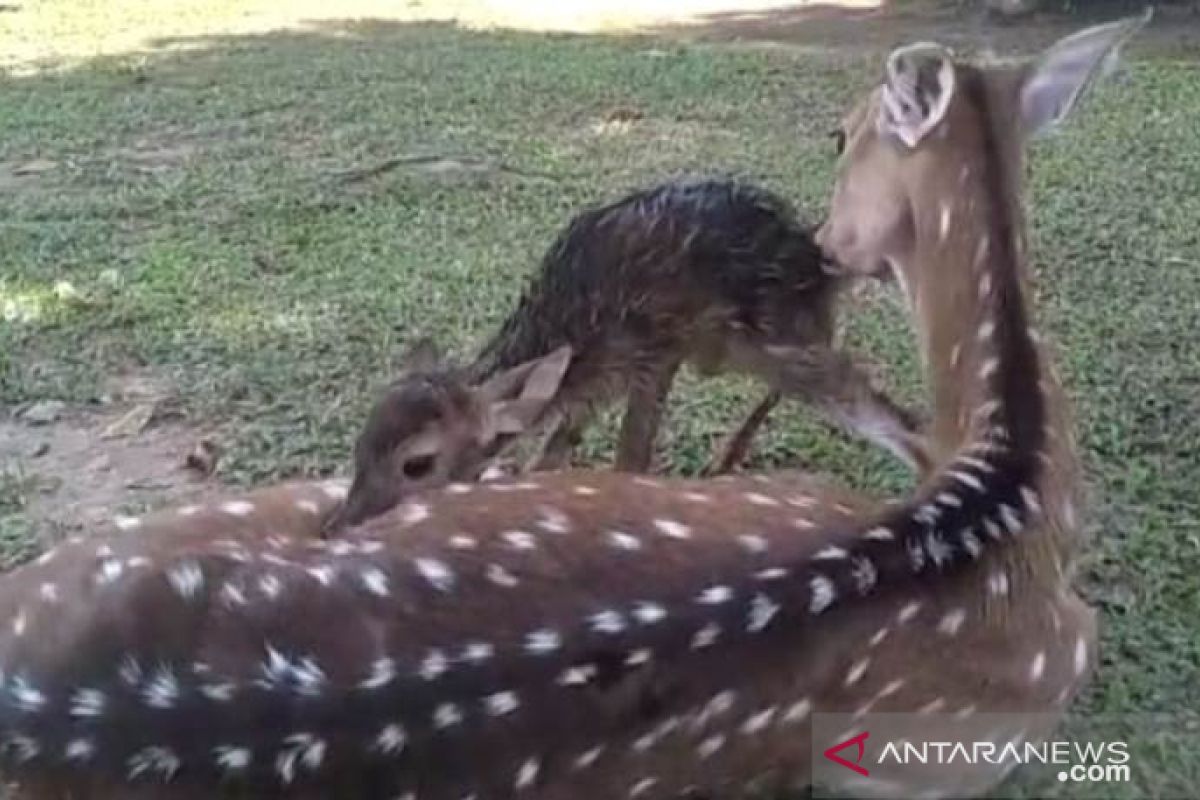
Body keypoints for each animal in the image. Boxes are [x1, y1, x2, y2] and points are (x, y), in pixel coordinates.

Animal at [0, 12, 1147, 800]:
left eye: (418, 464)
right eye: (361, 439)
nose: (337, 526)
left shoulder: (646, 353)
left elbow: (612, 444)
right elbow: (573, 440)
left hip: (761, 341)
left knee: (872, 410)